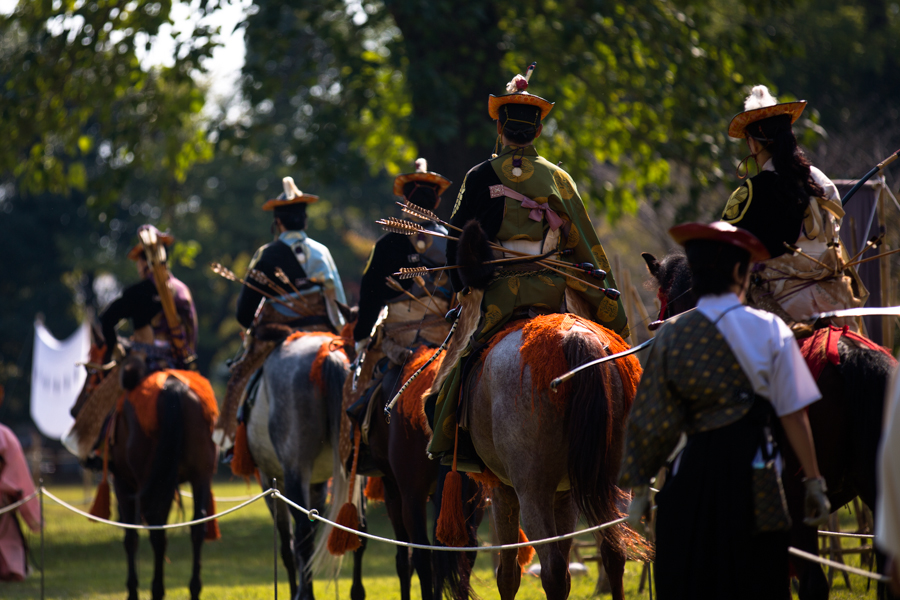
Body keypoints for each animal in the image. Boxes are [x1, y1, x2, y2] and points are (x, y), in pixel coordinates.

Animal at [65, 332, 218, 600]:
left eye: (92, 373)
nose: (74, 409)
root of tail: (174, 389)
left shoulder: (124, 483)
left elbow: (131, 536)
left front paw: (133, 589)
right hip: (199, 475)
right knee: (196, 527)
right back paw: (194, 588)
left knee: (157, 530)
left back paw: (157, 589)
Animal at [239, 332, 370, 600]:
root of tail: (328, 354)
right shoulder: (317, 484)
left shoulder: (271, 482)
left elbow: (289, 546)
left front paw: (295, 590)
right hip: (354, 472)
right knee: (359, 528)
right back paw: (356, 591)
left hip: (293, 473)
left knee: (301, 538)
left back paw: (307, 594)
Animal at [362, 346, 486, 600]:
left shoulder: (393, 490)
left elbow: (404, 559)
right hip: (473, 496)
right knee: (465, 551)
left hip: (411, 495)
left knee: (421, 552)